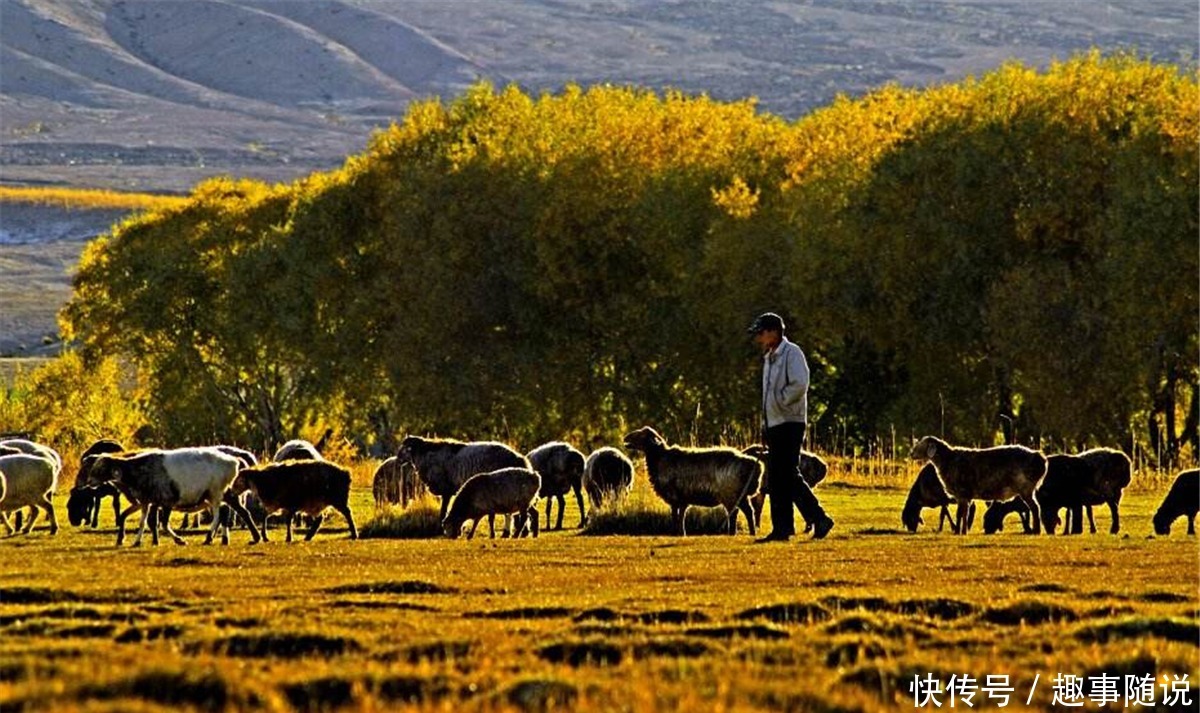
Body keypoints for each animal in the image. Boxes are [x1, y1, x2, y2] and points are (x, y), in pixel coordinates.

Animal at [86, 446, 260, 547]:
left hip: (217, 492)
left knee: (219, 515)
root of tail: (234, 461)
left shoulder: (167, 501)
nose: (89, 482)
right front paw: (137, 541)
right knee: (241, 513)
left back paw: (209, 537)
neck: (137, 470)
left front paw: (179, 540)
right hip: (226, 495)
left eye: (101, 469)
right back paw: (251, 537)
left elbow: (163, 524)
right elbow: (144, 522)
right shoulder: (147, 501)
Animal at [396, 429, 528, 518]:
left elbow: (443, 511)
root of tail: (519, 458)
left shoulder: (446, 490)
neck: (425, 455)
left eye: (405, 448)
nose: (398, 459)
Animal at [624, 422, 763, 532]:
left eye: (642, 434)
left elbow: (675, 518)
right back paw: (751, 533)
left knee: (734, 514)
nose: (626, 437)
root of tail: (753, 465)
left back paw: (733, 533)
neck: (660, 458)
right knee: (749, 512)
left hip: (730, 494)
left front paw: (675, 533)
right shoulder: (683, 499)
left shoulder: (674, 497)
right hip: (741, 495)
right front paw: (682, 534)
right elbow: (681, 519)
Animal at [912, 432, 1046, 532]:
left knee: (1035, 508)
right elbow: (963, 514)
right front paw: (962, 531)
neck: (947, 460)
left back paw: (1036, 530)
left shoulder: (962, 492)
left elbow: (960, 514)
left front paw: (959, 532)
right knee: (1035, 507)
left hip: (1025, 488)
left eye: (921, 445)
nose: (911, 453)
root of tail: (1039, 457)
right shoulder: (965, 496)